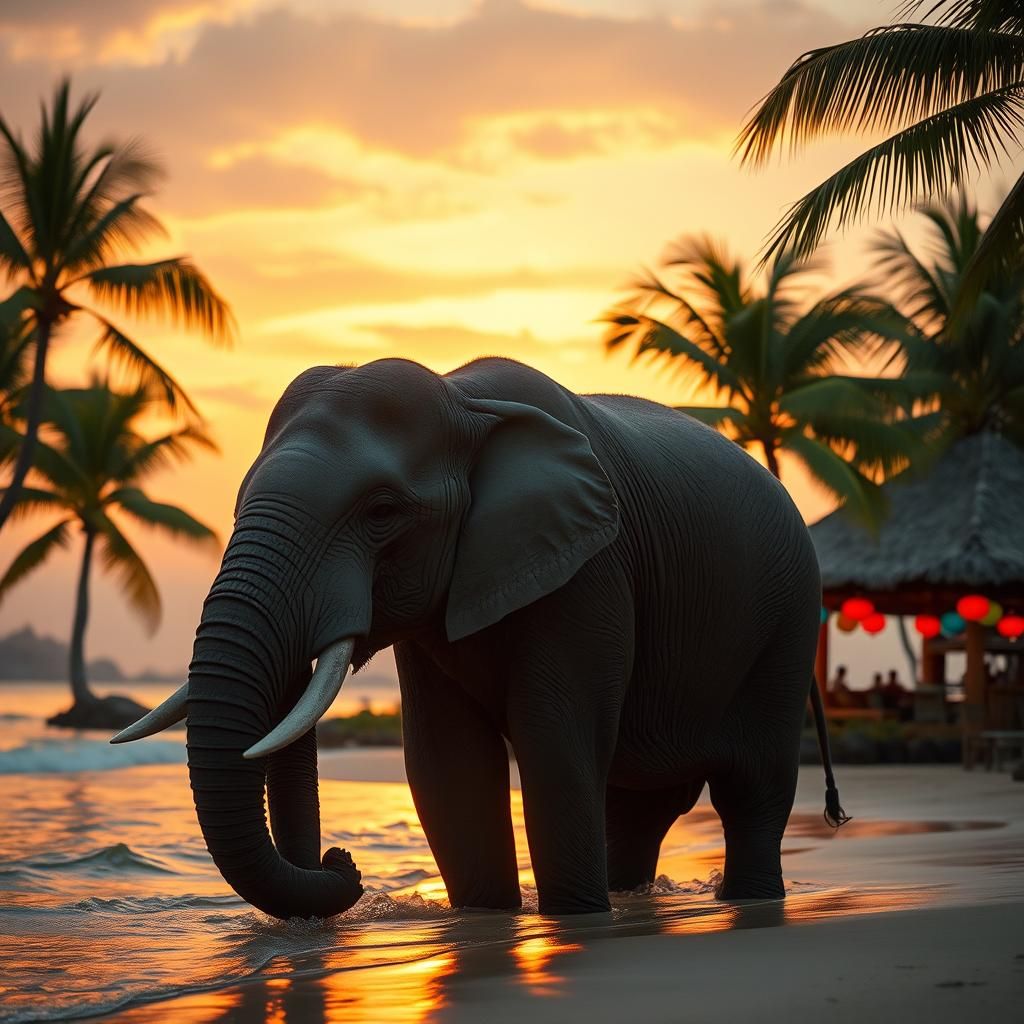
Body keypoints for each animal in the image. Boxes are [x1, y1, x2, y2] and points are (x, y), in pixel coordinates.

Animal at [112, 357, 845, 920]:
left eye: (382, 512)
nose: (339, 859)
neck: (463, 400)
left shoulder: (591, 573)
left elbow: (554, 742)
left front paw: (572, 920)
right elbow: (448, 763)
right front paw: (488, 917)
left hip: (786, 623)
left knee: (751, 788)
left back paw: (743, 901)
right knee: (639, 806)